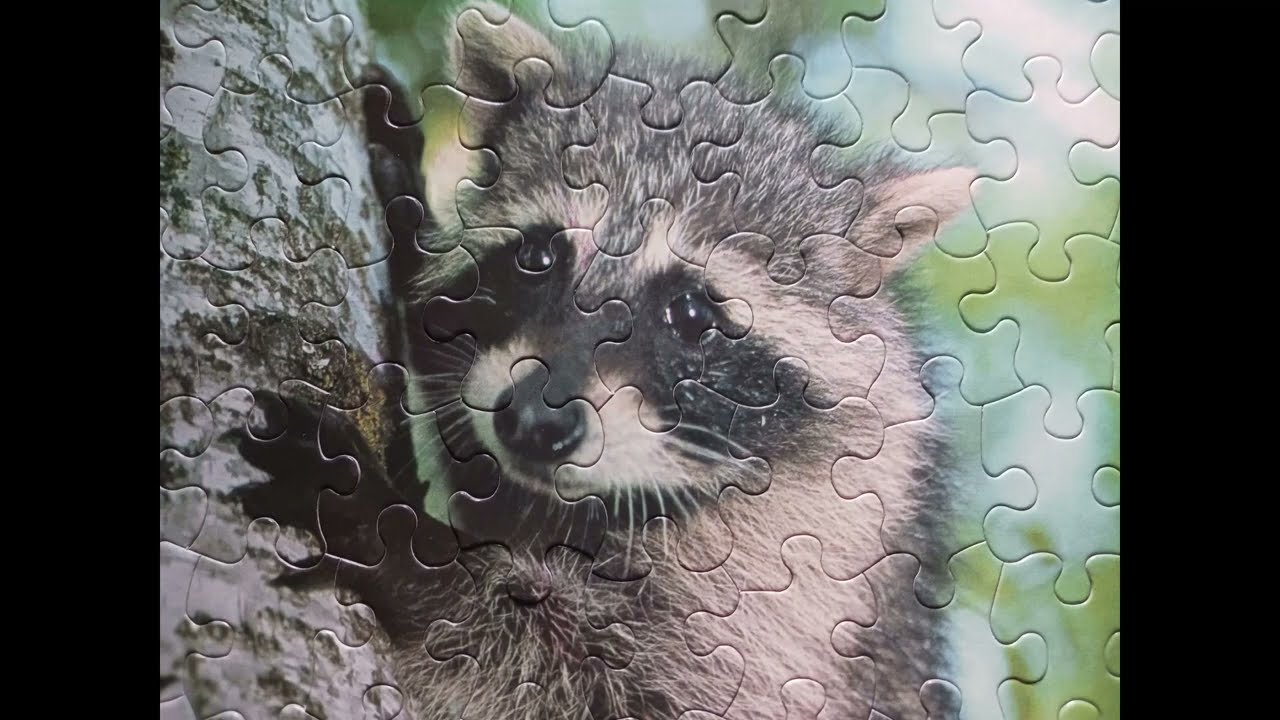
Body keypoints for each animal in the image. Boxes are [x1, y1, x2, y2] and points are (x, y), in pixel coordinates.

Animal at [234, 5, 977, 719]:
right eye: (538, 256)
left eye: (693, 314)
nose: (533, 422)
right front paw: (415, 234)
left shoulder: (808, 571)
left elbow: (599, 682)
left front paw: (406, 546)